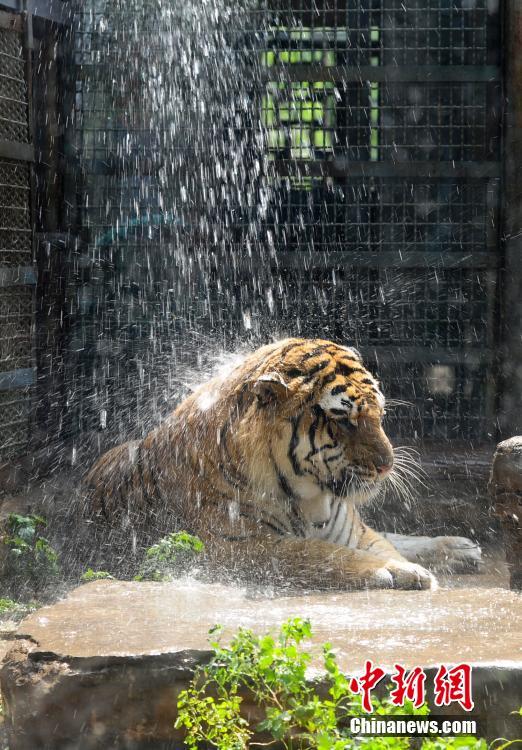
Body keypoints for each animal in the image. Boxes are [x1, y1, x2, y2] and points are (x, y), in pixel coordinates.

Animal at [84, 338, 480, 592]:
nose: (387, 465)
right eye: (344, 420)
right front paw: (394, 570)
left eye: (378, 413)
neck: (310, 497)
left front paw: (410, 567)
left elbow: (381, 543)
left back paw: (462, 548)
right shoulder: (241, 546)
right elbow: (320, 551)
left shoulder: (354, 531)